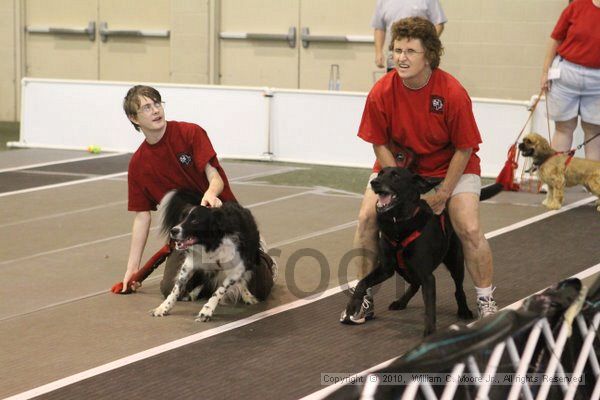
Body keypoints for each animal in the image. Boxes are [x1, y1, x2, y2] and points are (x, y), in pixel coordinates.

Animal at [151, 190, 276, 322]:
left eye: (195, 221)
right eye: (182, 218)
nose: (173, 231)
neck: (210, 243)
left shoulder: (237, 267)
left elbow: (220, 290)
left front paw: (206, 311)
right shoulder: (189, 264)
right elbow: (176, 288)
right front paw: (163, 308)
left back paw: (247, 295)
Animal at [342, 167, 502, 336]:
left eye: (396, 175)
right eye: (380, 173)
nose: (374, 182)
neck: (398, 224)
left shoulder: (427, 276)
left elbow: (430, 308)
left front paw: (430, 333)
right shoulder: (386, 269)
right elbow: (362, 282)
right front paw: (352, 306)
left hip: (455, 262)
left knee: (458, 288)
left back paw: (464, 310)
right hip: (404, 269)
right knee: (415, 284)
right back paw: (401, 302)